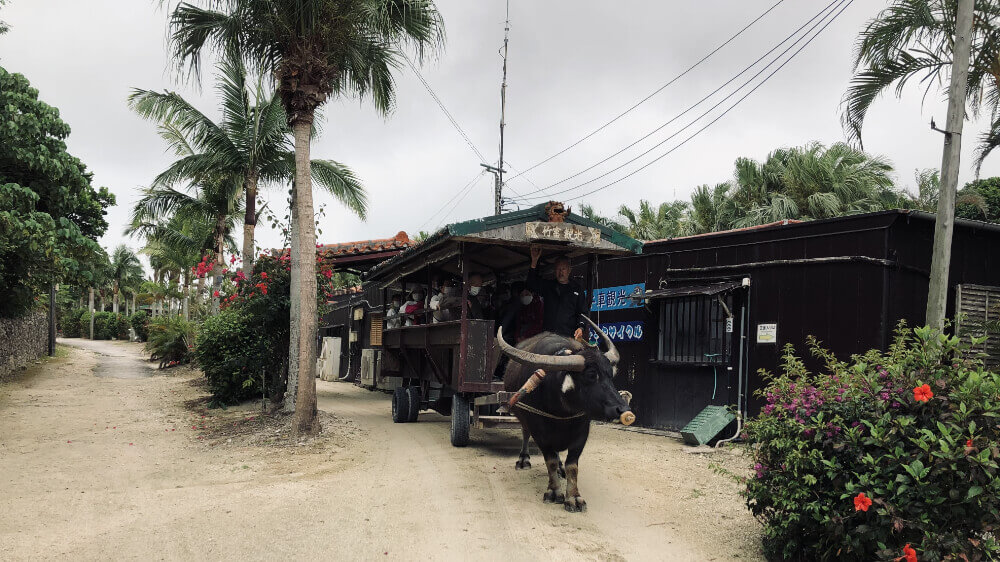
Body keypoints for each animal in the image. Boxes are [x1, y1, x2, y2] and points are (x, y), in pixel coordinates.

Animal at [498, 316, 632, 512]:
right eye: (591, 375)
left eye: (610, 375)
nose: (622, 410)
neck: (561, 411)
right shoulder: (540, 433)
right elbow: (550, 460)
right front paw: (554, 492)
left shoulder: (582, 433)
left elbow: (572, 465)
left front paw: (574, 496)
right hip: (523, 419)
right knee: (525, 433)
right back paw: (523, 460)